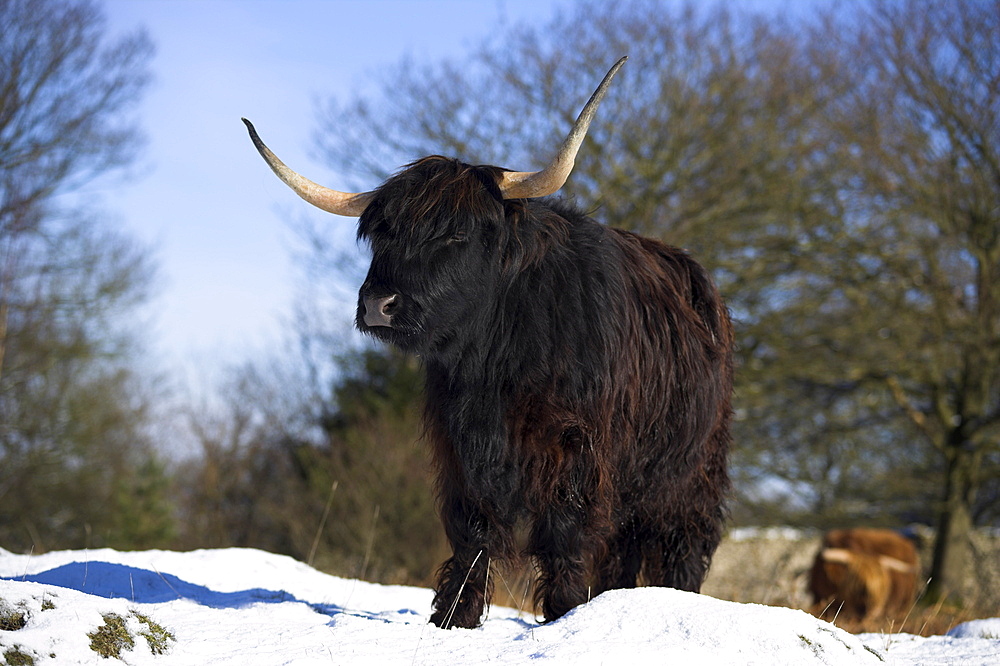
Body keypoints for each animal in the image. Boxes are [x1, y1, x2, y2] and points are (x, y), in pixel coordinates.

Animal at [244, 58, 736, 628]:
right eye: (382, 234)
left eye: (456, 234)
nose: (377, 304)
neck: (497, 362)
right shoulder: (461, 444)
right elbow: (473, 530)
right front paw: (454, 618)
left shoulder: (576, 447)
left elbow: (564, 533)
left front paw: (565, 615)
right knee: (624, 547)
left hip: (692, 469)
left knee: (683, 542)